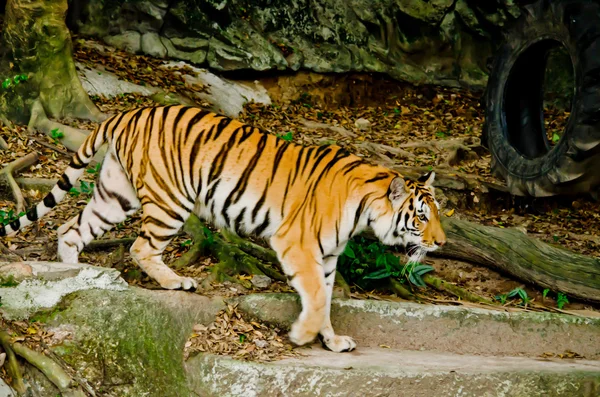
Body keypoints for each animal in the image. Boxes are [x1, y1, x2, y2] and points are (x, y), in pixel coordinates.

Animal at [1, 104, 446, 350]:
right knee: (140, 248)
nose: (441, 242)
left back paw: (78, 272)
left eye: (439, 212)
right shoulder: (296, 243)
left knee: (71, 230)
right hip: (169, 199)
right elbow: (318, 298)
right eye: (422, 215)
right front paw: (303, 336)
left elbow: (326, 300)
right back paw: (175, 282)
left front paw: (332, 340)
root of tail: (131, 112)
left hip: (116, 193)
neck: (363, 211)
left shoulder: (329, 257)